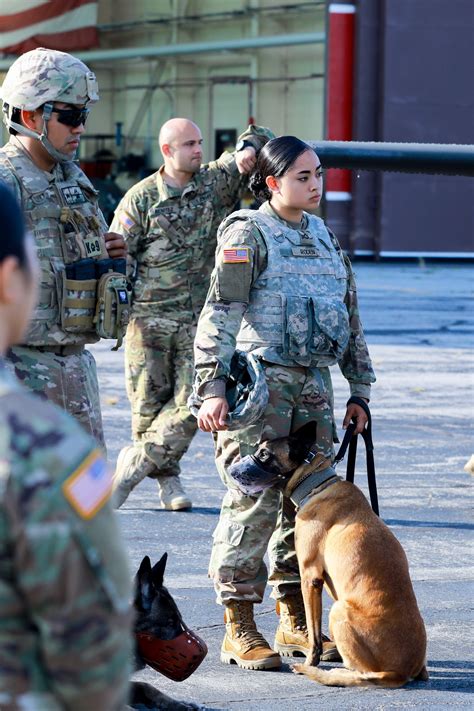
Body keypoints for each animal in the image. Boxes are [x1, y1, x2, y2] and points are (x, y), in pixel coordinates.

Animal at [234, 422, 430, 688]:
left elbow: (314, 634)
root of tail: (400, 672)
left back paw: (332, 673)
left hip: (339, 609)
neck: (315, 482)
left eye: (264, 455)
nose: (234, 471)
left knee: (362, 673)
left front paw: (311, 662)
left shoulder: (310, 577)